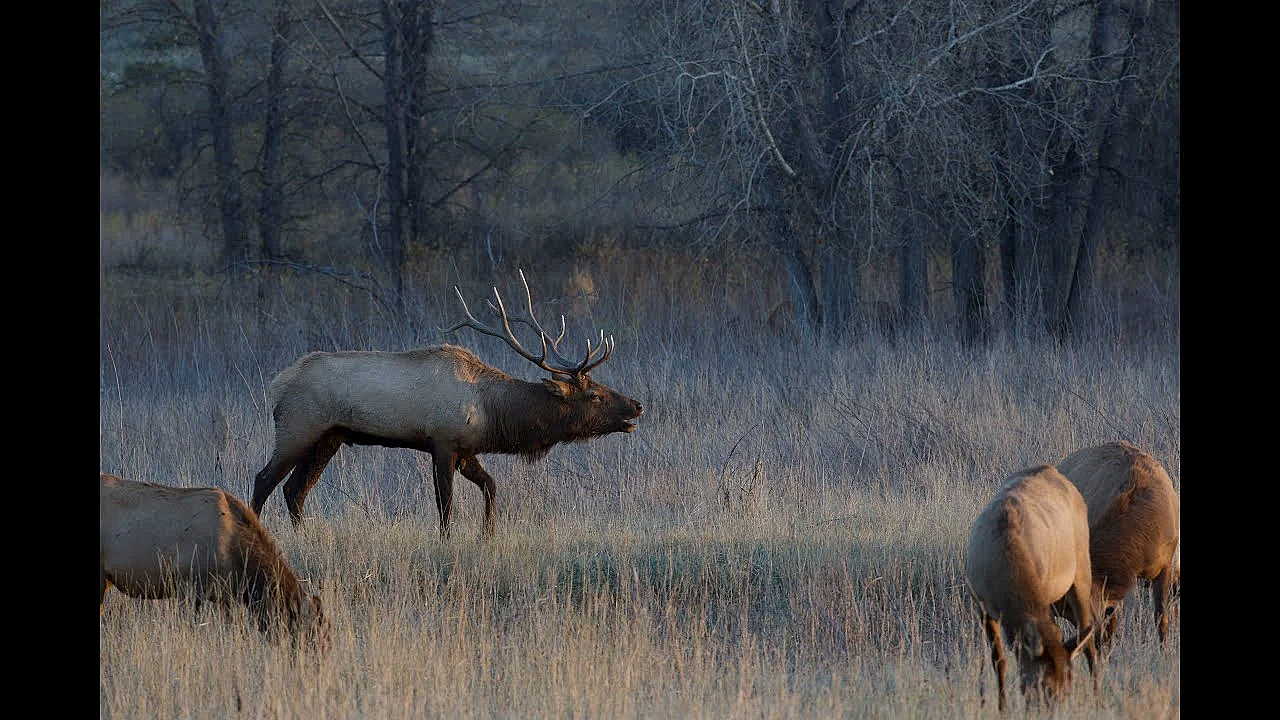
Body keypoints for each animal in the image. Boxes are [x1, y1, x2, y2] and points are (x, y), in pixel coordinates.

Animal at [249, 270, 644, 539]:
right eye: (595, 395)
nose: (637, 406)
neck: (491, 414)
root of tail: (277, 384)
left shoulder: (467, 449)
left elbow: (491, 486)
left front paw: (488, 535)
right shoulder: (442, 442)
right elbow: (446, 504)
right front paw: (447, 541)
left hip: (330, 437)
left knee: (295, 489)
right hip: (298, 427)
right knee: (265, 479)